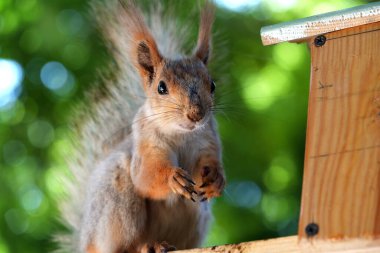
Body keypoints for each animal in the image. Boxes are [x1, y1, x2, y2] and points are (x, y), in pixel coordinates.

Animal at [56, 0, 226, 253]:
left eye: (212, 85)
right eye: (161, 87)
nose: (196, 115)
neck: (181, 134)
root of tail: (85, 243)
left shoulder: (208, 140)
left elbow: (209, 162)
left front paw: (216, 179)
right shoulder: (146, 143)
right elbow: (146, 177)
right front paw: (171, 177)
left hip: (196, 215)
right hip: (116, 203)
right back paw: (146, 246)